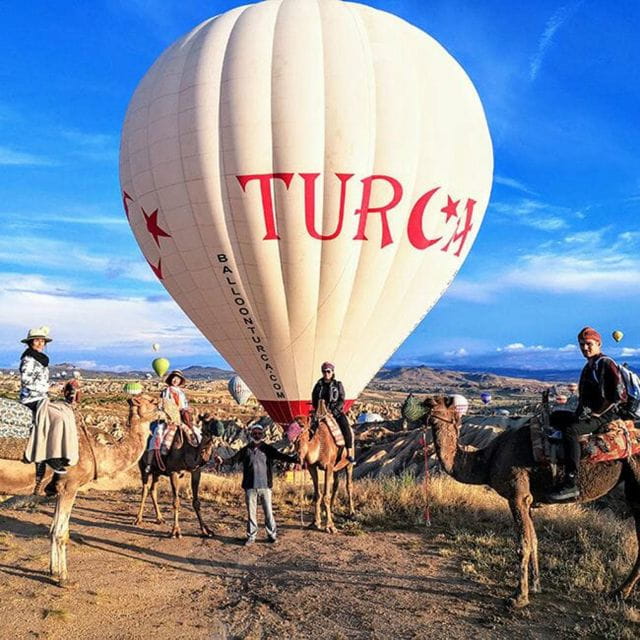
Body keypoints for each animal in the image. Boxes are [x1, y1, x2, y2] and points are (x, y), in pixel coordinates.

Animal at [0, 394, 158, 586]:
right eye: (154, 402)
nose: (165, 411)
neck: (96, 449)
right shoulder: (69, 486)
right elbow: (61, 533)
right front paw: (64, 579)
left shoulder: (58, 489)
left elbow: (53, 529)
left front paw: (53, 571)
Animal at [290, 400, 354, 533]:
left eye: (302, 425)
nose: (288, 434)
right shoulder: (312, 467)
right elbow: (318, 495)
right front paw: (315, 522)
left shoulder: (328, 467)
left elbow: (325, 495)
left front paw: (330, 526)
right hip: (336, 467)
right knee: (336, 484)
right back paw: (329, 510)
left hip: (348, 463)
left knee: (348, 485)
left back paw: (352, 513)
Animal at [407, 395, 640, 608]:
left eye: (433, 402)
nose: (414, 411)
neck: (488, 459)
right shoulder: (528, 500)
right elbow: (534, 540)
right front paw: (536, 586)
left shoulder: (517, 496)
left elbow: (522, 545)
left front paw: (519, 597)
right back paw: (619, 592)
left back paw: (619, 593)